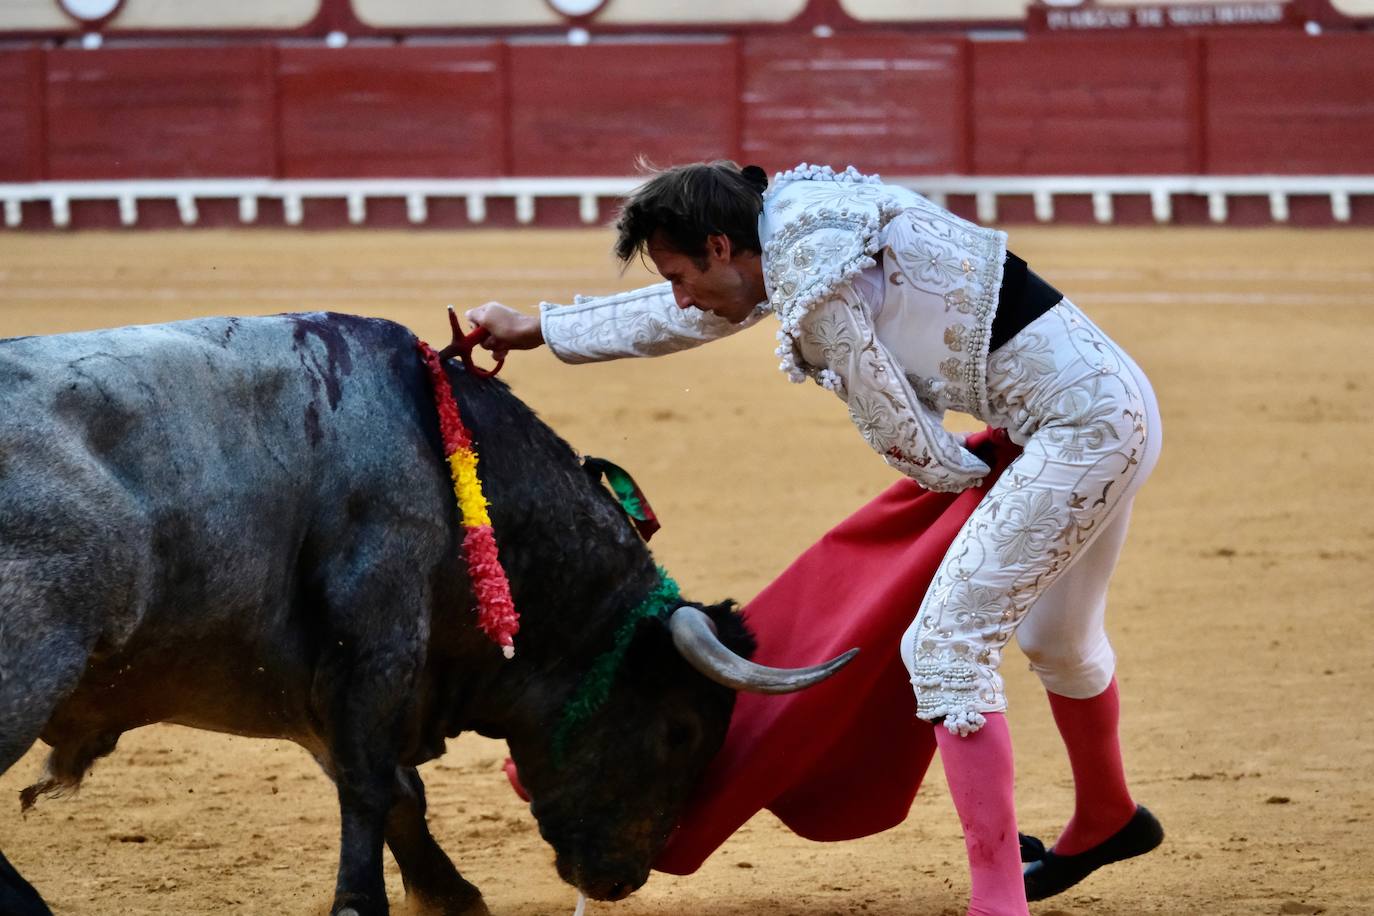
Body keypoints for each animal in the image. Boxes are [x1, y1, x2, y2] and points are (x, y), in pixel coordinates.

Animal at [0, 315, 851, 916]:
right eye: (680, 731)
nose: (621, 881)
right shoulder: (377, 641)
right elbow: (371, 785)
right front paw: (360, 904)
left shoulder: (322, 680)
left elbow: (390, 787)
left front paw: (451, 896)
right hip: (30, 662)